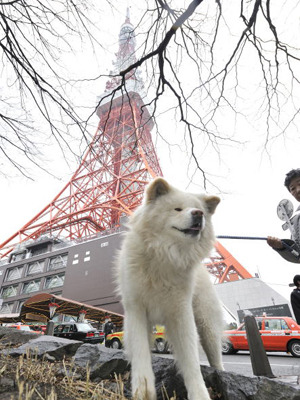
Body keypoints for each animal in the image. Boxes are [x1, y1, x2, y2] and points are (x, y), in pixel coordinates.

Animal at [116, 178, 224, 400]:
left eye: (199, 210)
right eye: (177, 209)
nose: (198, 214)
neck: (164, 256)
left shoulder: (181, 312)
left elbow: (191, 359)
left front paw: (199, 394)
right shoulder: (136, 310)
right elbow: (140, 351)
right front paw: (143, 389)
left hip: (207, 325)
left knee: (216, 356)